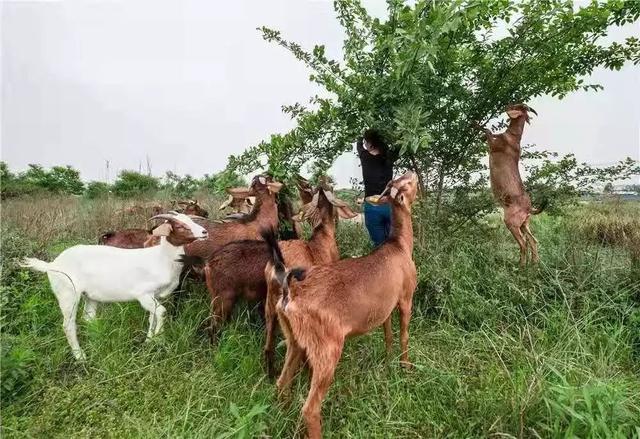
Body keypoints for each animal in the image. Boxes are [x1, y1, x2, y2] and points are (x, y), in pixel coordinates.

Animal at [19, 213, 208, 360]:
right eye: (180, 225)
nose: (205, 232)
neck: (161, 259)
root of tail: (52, 264)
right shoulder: (143, 294)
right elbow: (161, 312)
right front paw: (159, 339)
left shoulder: (155, 296)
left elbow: (152, 317)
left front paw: (149, 340)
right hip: (67, 294)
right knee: (68, 325)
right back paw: (80, 356)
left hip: (90, 296)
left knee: (87, 317)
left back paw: (97, 341)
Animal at [262, 172, 418, 439]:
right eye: (405, 183)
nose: (411, 172)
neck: (399, 245)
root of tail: (289, 292)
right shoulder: (406, 298)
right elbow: (404, 336)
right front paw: (405, 368)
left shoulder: (385, 308)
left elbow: (388, 334)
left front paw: (388, 361)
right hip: (327, 348)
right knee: (310, 408)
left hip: (294, 339)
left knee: (282, 383)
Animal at [480, 104, 544, 268]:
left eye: (515, 105)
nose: (505, 106)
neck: (513, 136)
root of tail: (529, 208)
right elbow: (489, 132)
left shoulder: (493, 145)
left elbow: (487, 131)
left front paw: (475, 124)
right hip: (524, 224)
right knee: (533, 241)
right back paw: (534, 263)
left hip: (512, 223)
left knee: (523, 243)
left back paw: (521, 265)